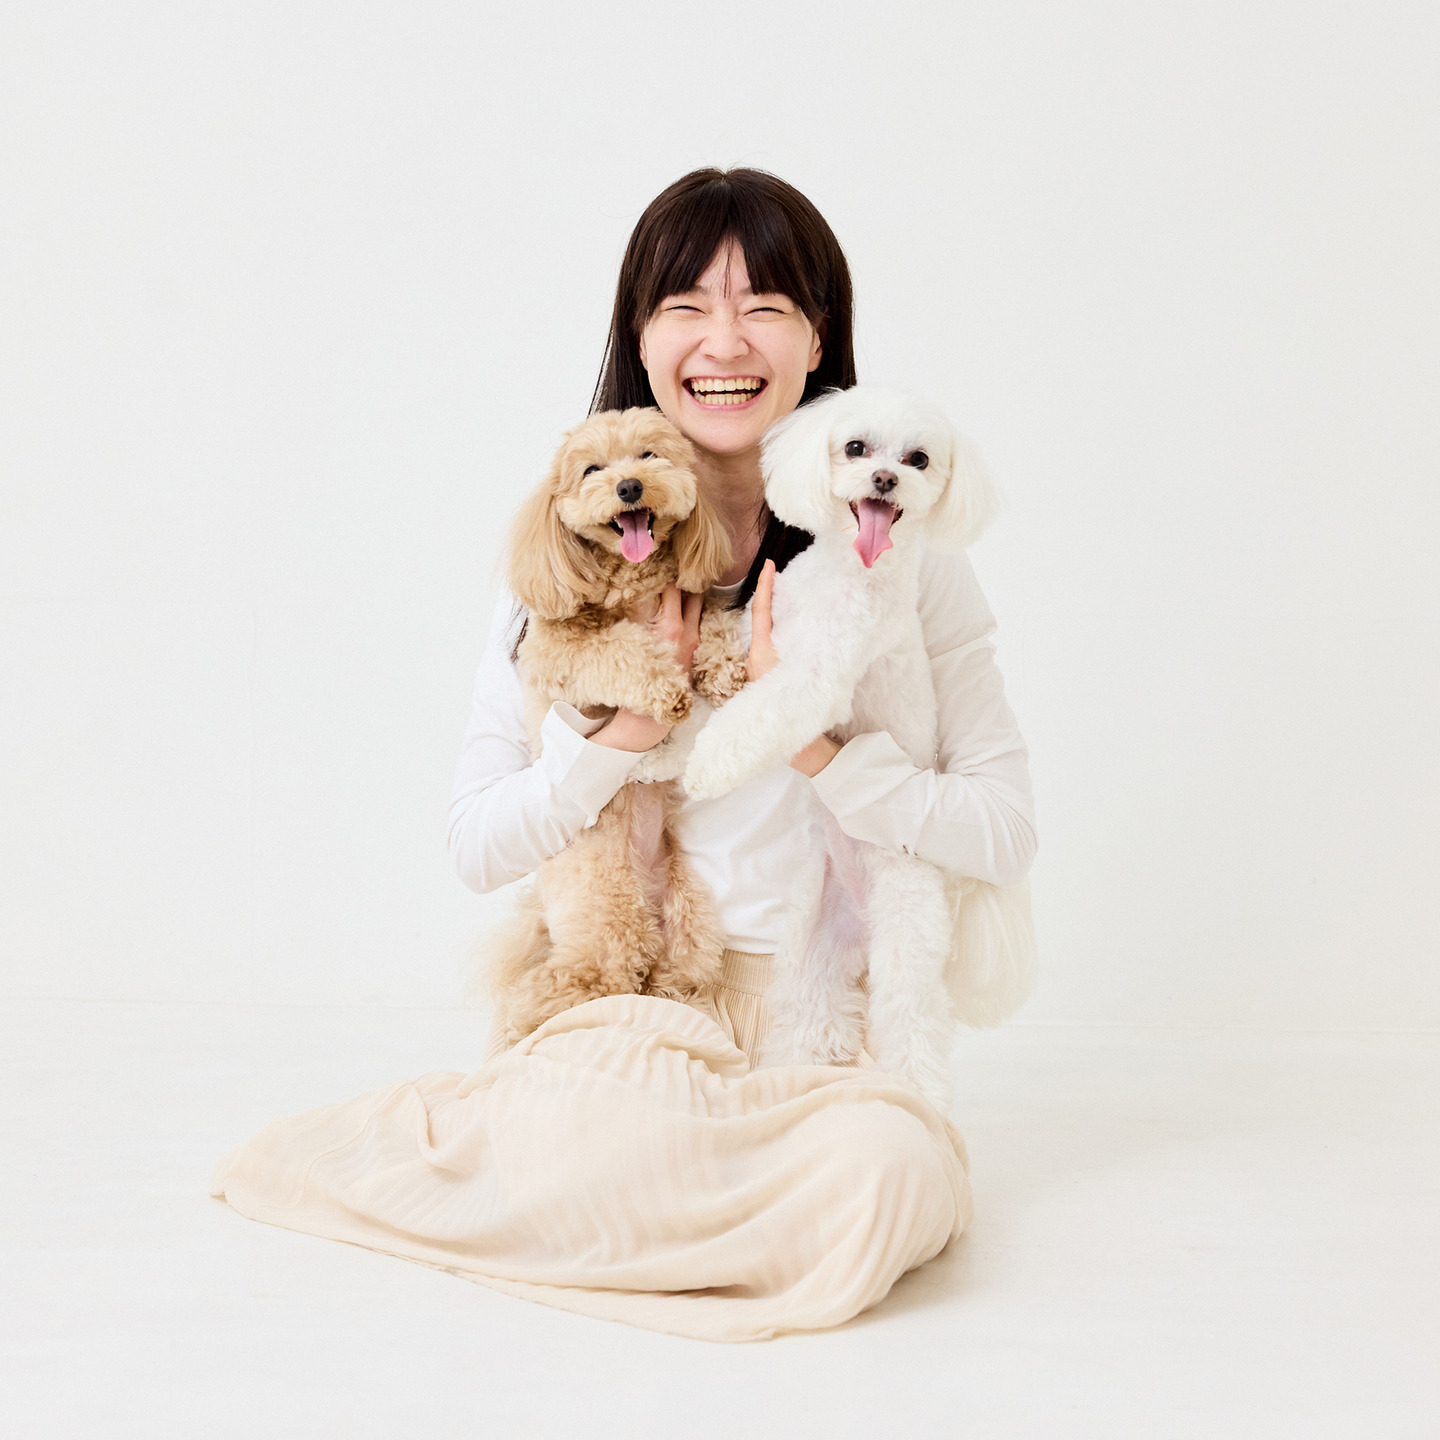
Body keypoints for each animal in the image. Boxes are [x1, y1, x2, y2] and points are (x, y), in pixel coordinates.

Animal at [491, 407, 748, 1045]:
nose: (629, 487)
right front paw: (667, 690)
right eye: (592, 470)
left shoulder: (695, 599)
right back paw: (515, 1029)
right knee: (559, 987)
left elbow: (714, 620)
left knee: (672, 973)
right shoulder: (557, 651)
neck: (633, 582)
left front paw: (722, 670)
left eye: (649, 456)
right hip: (606, 922)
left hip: (689, 918)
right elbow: (619, 646)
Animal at [682, 385, 1037, 1109]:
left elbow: (759, 715)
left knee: (914, 1032)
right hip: (810, 944)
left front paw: (707, 763)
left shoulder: (817, 675)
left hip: (909, 934)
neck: (845, 571)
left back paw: (918, 1100)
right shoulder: (768, 619)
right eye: (855, 447)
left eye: (919, 459)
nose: (884, 479)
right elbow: (724, 652)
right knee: (808, 1019)